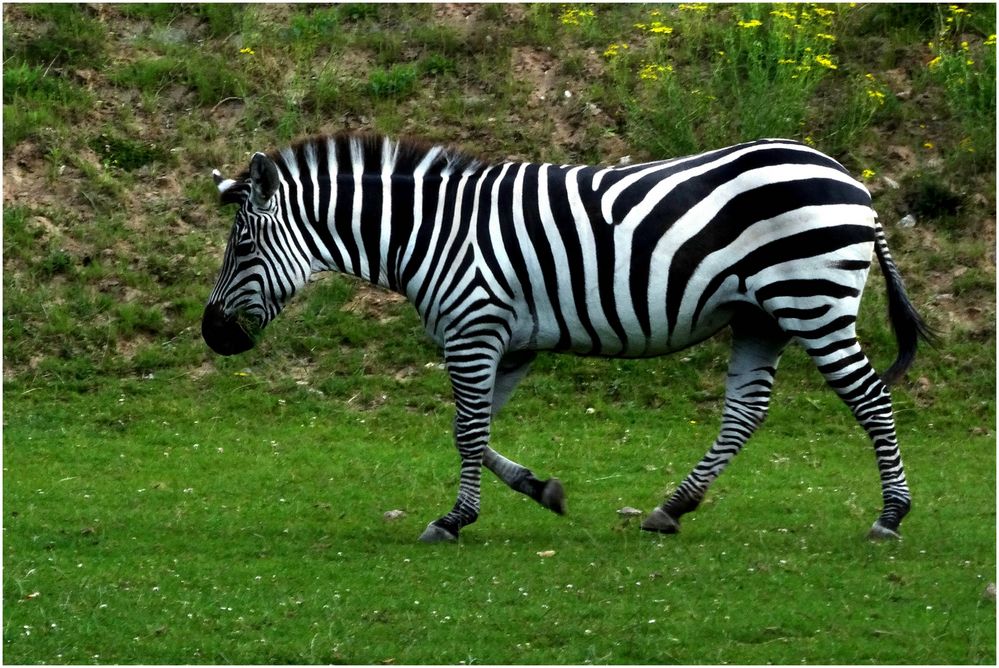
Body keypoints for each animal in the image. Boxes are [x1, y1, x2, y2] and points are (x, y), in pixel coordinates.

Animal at [199, 133, 932, 544]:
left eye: (242, 246)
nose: (211, 336)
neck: (428, 233)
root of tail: (854, 183)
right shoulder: (508, 341)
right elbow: (474, 431)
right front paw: (538, 488)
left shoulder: (473, 328)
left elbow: (467, 431)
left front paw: (454, 520)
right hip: (763, 318)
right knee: (745, 413)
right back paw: (671, 508)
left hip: (811, 301)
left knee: (871, 400)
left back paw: (892, 516)